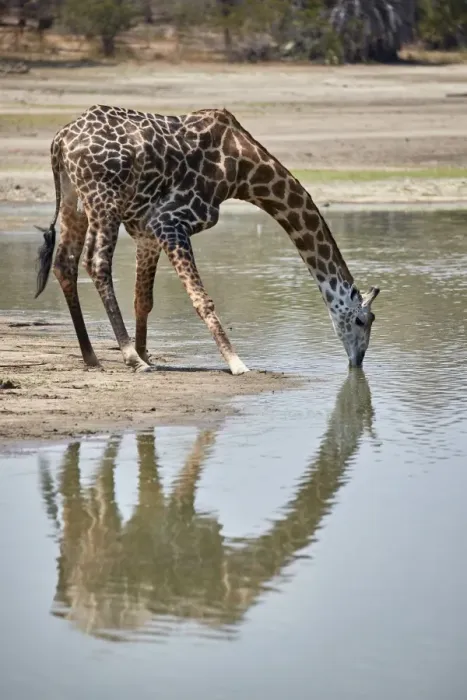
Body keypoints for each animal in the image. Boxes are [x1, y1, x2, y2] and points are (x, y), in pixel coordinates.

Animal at [34, 104, 380, 374]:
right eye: (364, 320)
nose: (358, 360)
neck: (242, 170)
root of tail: (60, 141)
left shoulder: (147, 232)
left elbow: (143, 299)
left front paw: (147, 353)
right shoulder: (170, 221)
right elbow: (202, 299)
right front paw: (237, 363)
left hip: (74, 200)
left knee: (65, 263)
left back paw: (92, 357)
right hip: (103, 201)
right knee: (96, 262)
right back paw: (130, 358)